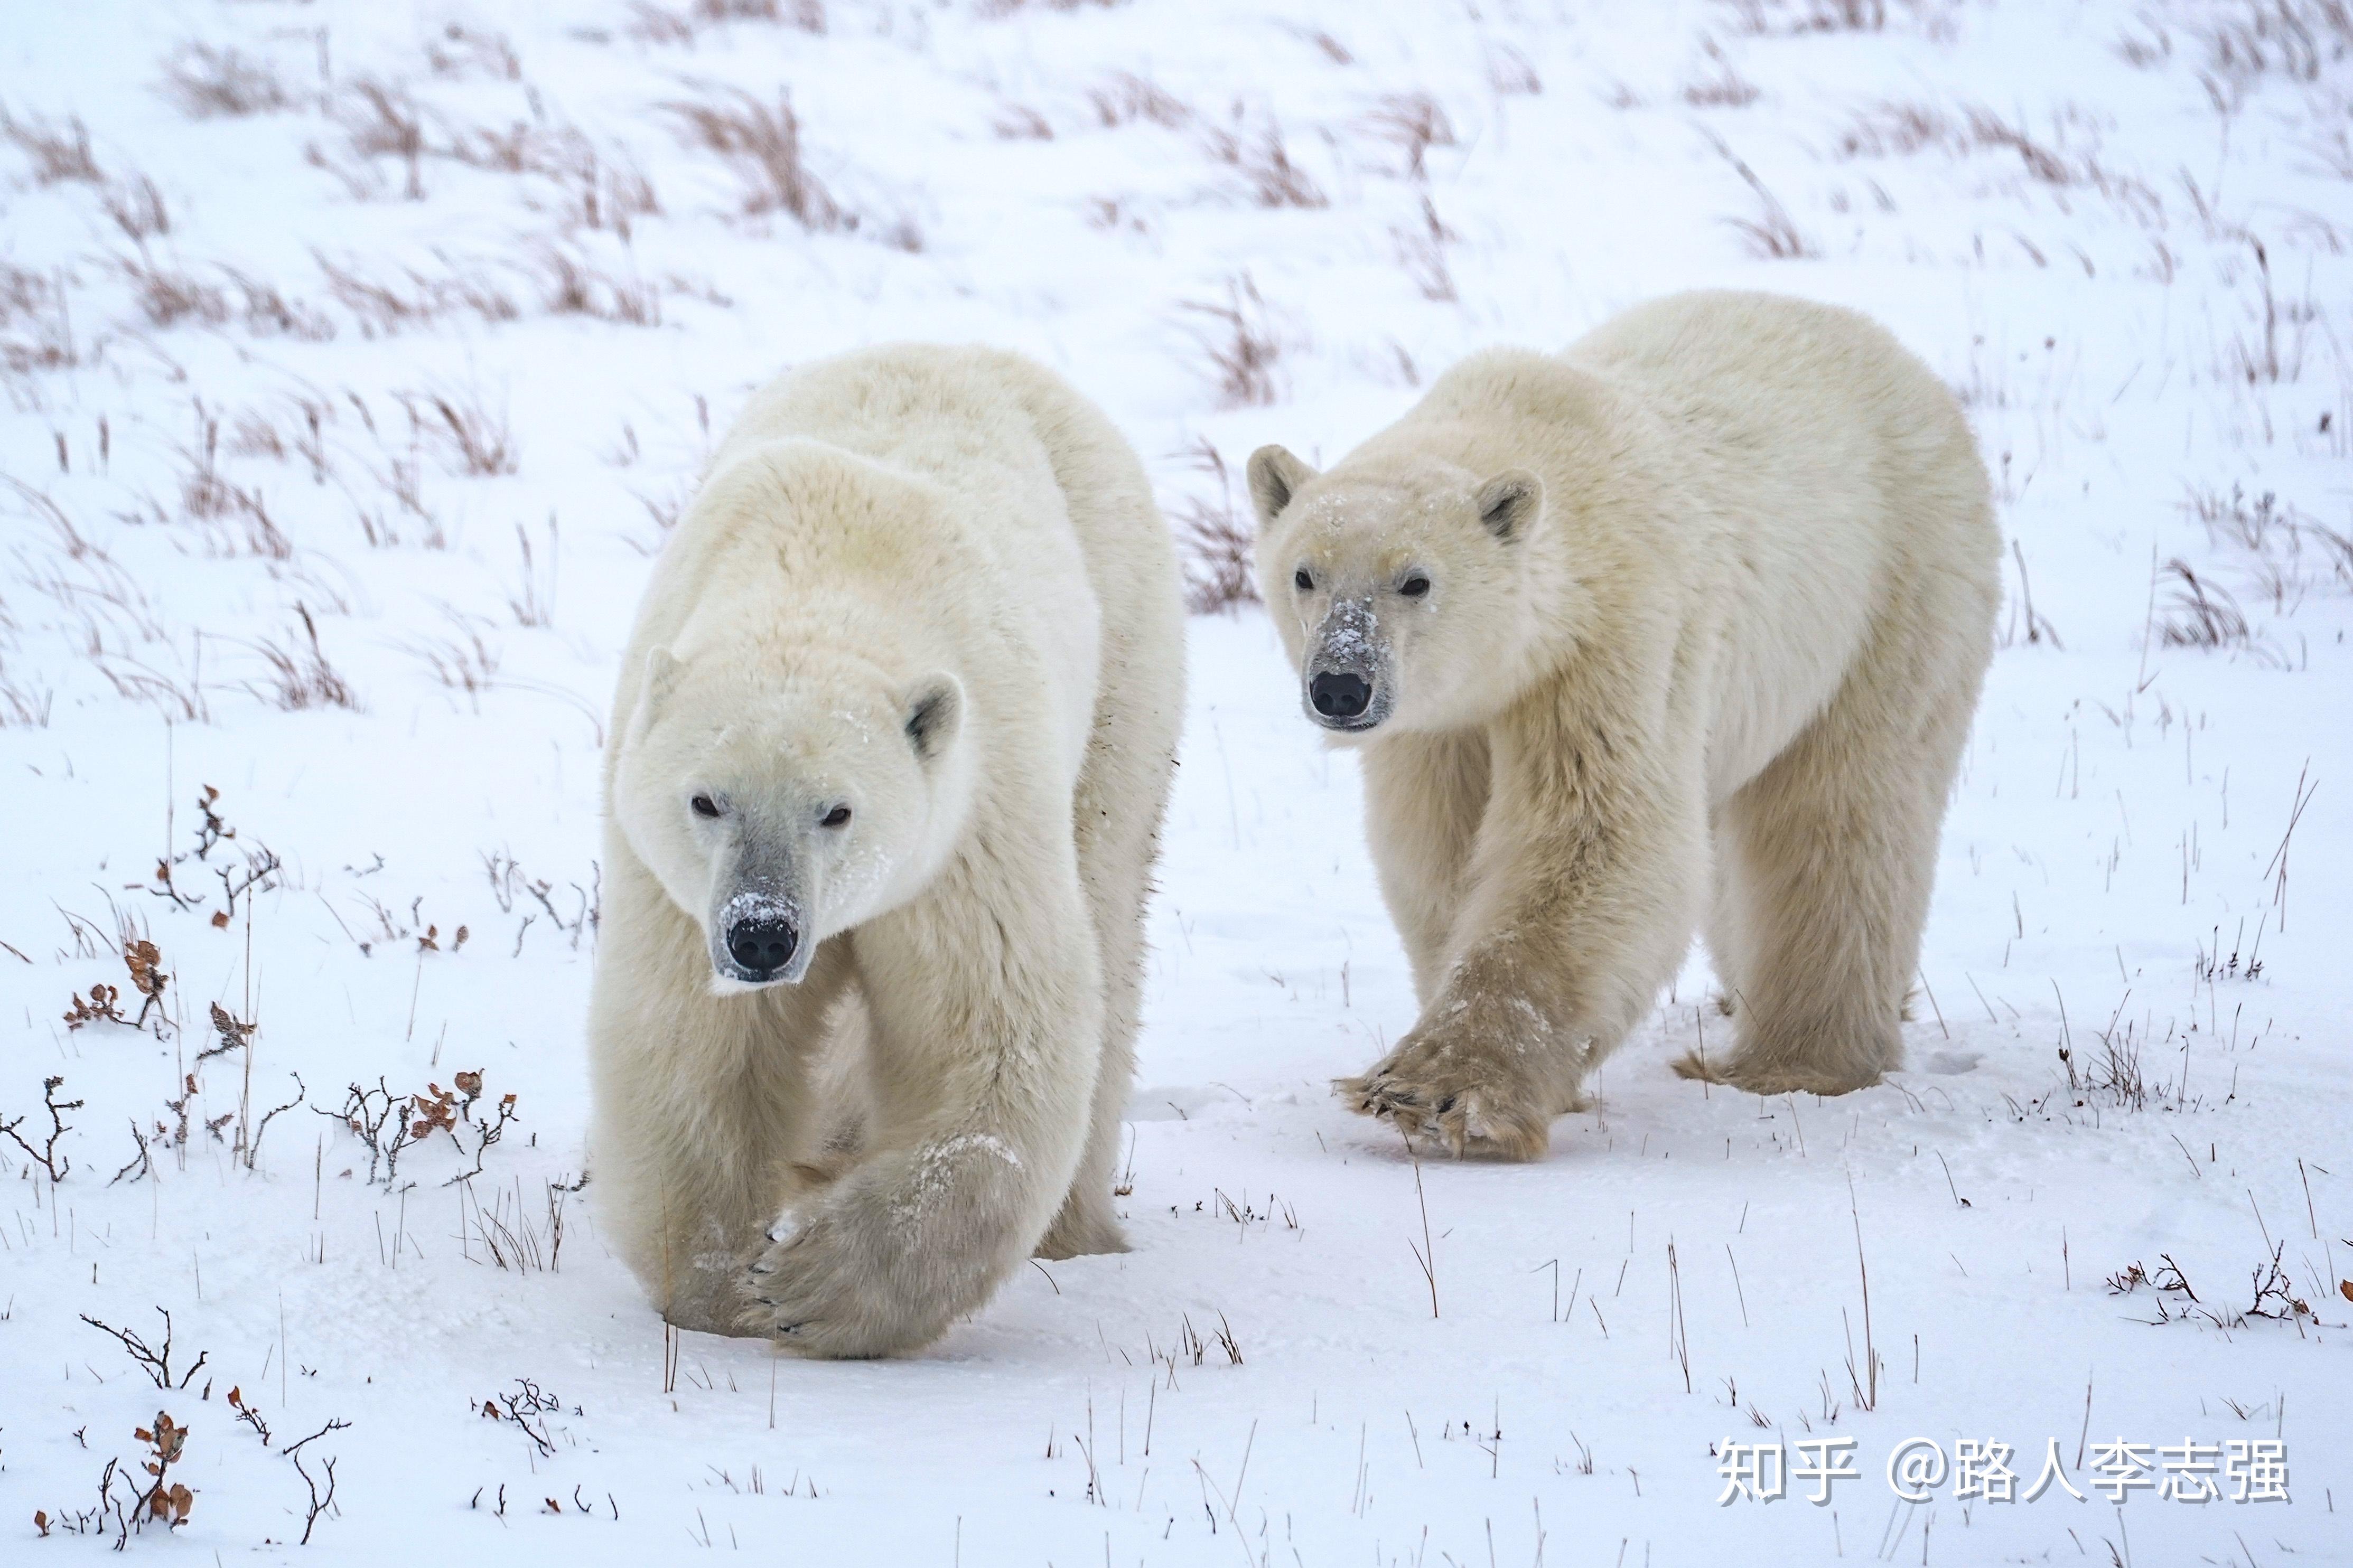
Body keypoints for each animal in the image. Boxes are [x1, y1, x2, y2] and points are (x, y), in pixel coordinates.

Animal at [589, 344, 1185, 1357]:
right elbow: (696, 1048)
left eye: (837, 811)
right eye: (707, 799)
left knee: (1108, 912)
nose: (761, 934)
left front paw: (814, 1284)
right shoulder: (672, 887)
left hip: (1125, 651)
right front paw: (723, 1288)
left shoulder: (966, 826)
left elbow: (990, 1040)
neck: (828, 571)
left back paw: (1075, 1229)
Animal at [1246, 290, 1999, 1158]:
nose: (1340, 686)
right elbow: (1439, 856)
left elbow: (1599, 837)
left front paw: (1434, 1090)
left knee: (1842, 813)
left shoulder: (1615, 636)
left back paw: (1793, 1060)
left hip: (1893, 589)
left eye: (1415, 580)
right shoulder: (1441, 720)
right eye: (1304, 573)